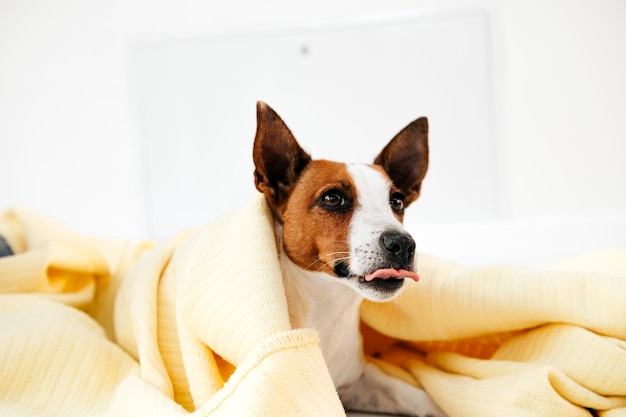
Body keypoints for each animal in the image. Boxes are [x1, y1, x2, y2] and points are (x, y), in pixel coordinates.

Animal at [251, 101, 446, 416]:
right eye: (332, 198)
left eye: (398, 202)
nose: (403, 244)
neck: (327, 308)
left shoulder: (358, 382)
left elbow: (412, 394)